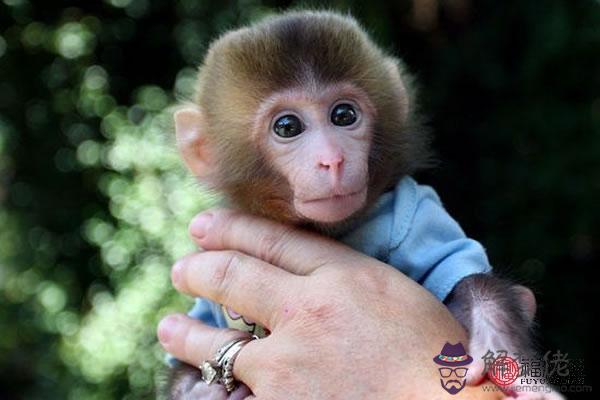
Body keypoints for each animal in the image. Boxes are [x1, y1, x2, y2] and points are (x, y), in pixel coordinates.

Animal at [168, 10, 556, 400]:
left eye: (344, 115)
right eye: (287, 126)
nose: (332, 160)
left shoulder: (415, 214)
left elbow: (464, 276)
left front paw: (499, 348)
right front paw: (197, 390)